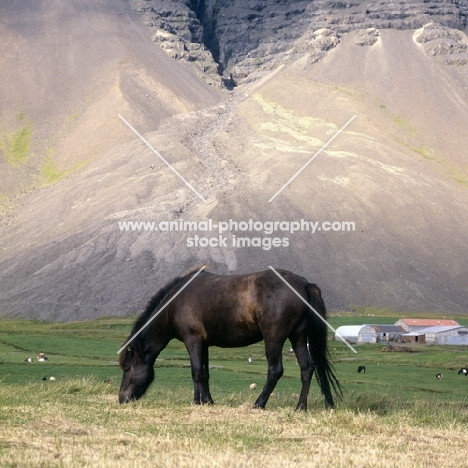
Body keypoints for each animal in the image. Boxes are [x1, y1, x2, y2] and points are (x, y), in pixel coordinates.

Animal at [119, 266, 342, 410]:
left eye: (128, 368)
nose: (121, 398)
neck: (175, 303)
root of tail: (303, 284)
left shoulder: (193, 341)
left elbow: (196, 372)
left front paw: (197, 402)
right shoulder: (204, 345)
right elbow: (205, 373)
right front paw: (208, 401)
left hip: (274, 338)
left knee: (275, 370)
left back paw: (259, 404)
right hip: (298, 337)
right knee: (307, 369)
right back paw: (300, 407)